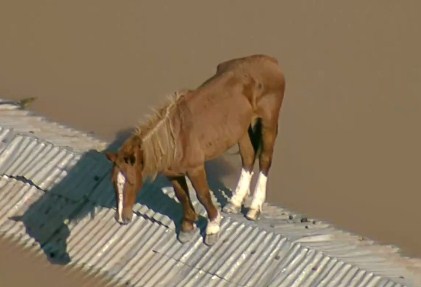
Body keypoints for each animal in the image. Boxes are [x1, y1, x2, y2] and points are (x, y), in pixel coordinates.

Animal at [105, 55, 286, 246]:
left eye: (131, 182)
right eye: (113, 182)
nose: (120, 218)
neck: (175, 139)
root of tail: (270, 61)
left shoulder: (195, 168)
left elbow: (203, 195)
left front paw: (213, 227)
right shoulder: (172, 172)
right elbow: (182, 195)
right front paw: (187, 226)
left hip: (268, 122)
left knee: (265, 159)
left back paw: (254, 209)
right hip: (242, 129)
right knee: (248, 157)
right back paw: (235, 202)